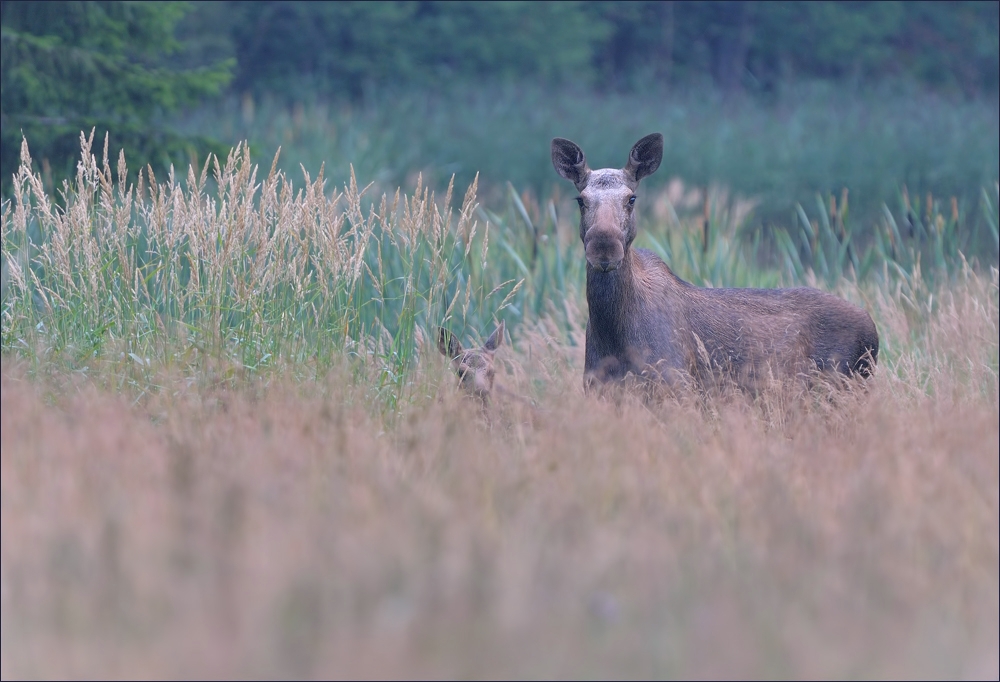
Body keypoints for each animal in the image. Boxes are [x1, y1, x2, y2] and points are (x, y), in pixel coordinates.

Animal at [552, 133, 880, 390]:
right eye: (581, 200)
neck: (613, 333)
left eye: (631, 198)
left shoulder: (675, 386)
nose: (604, 247)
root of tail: (874, 333)